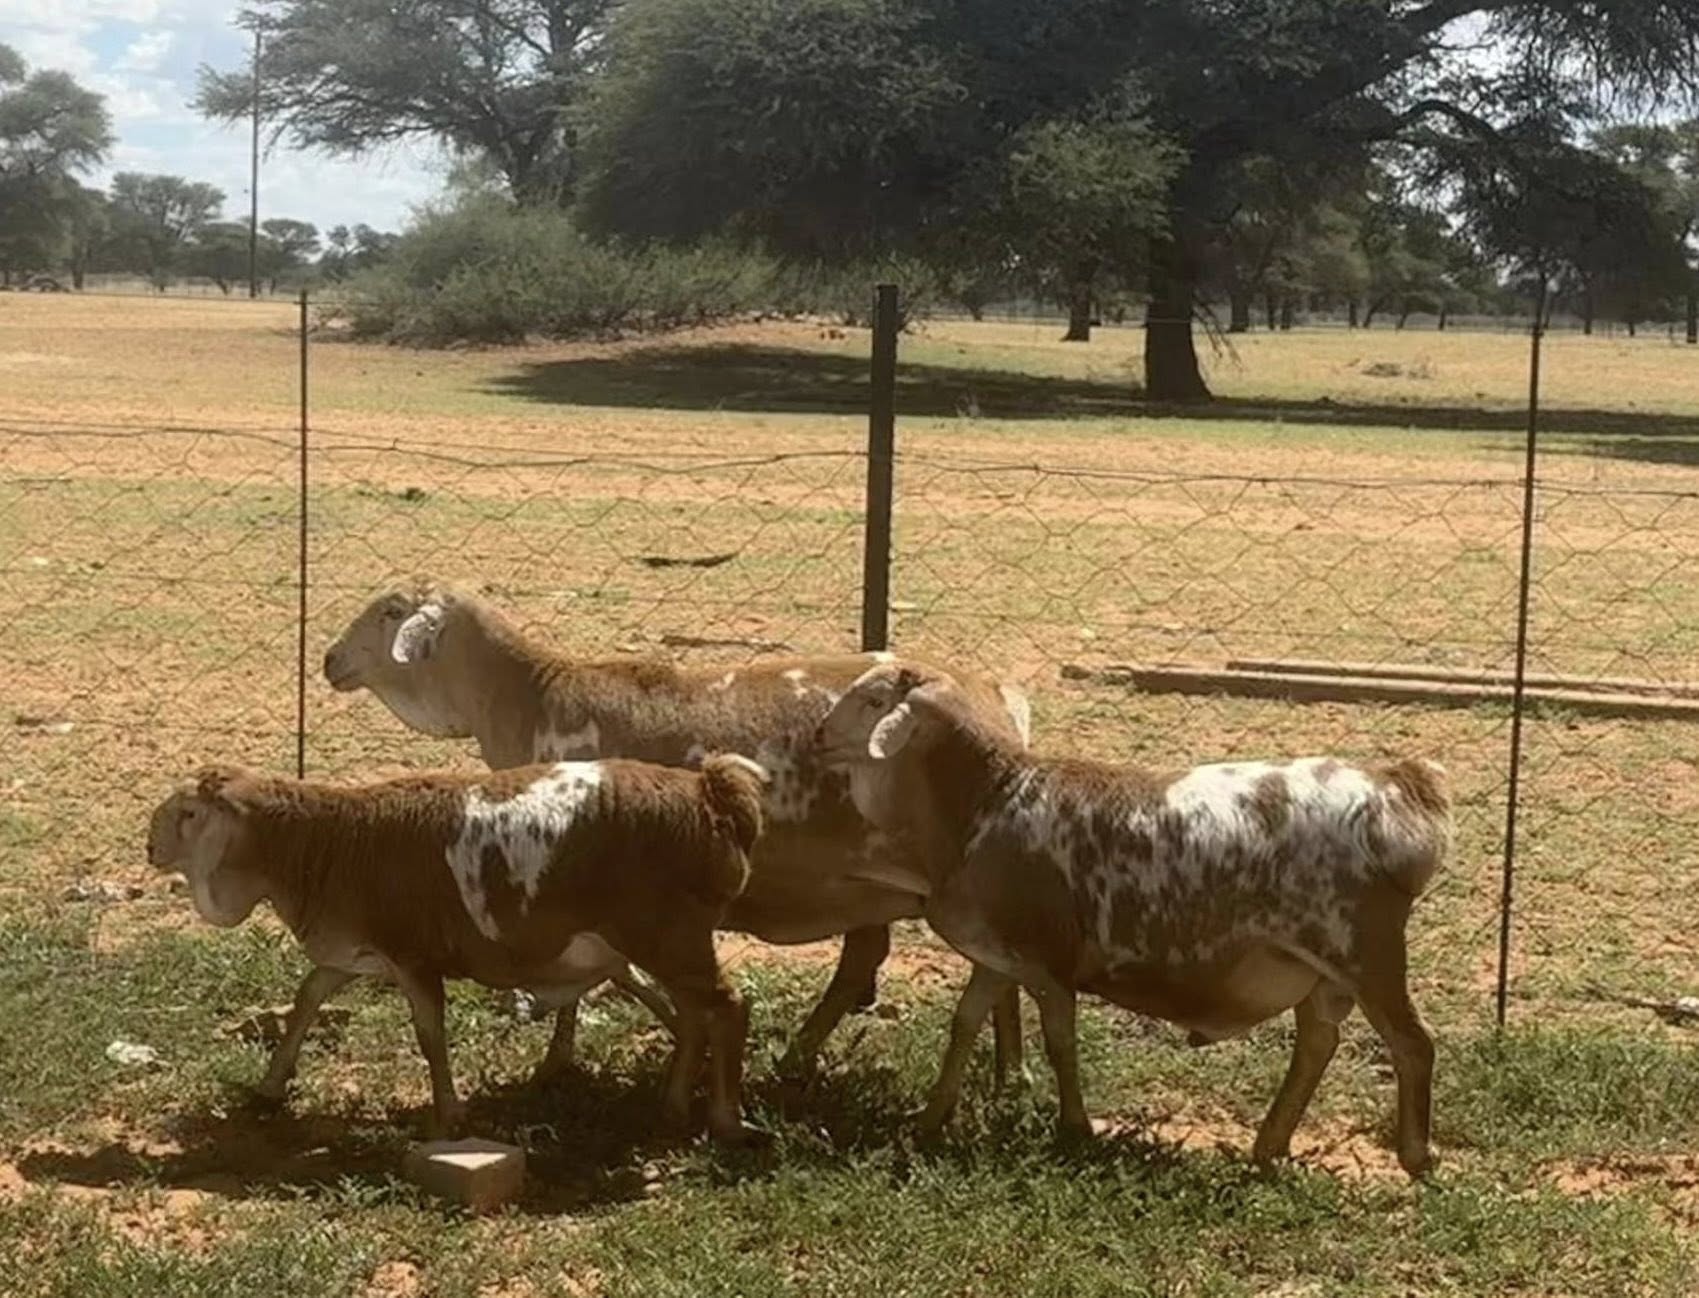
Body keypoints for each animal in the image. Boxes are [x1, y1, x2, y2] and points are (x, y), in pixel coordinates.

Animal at [145, 753, 768, 1142]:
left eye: (190, 813)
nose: (149, 847)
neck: (327, 842)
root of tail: (711, 795)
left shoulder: (412, 956)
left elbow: (430, 1036)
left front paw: (447, 1116)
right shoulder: (357, 953)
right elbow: (307, 997)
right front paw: (270, 1088)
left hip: (667, 936)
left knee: (728, 1007)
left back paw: (727, 1121)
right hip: (665, 940)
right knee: (695, 1013)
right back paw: (674, 1107)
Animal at [322, 585, 1033, 1083]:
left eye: (391, 610)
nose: (330, 660)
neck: (533, 695)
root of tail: (999, 698)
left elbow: (604, 974)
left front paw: (572, 1053)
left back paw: (1006, 1074)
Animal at [815, 661, 1451, 1177]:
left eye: (874, 700)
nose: (819, 736)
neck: (987, 798)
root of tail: (1394, 795)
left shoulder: (1049, 959)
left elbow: (1059, 1040)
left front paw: (1075, 1129)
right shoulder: (1001, 953)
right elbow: (966, 1024)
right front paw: (930, 1118)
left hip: (1367, 951)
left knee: (1412, 1044)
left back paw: (1416, 1158)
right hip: (1324, 966)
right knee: (1318, 1042)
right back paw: (1268, 1148)